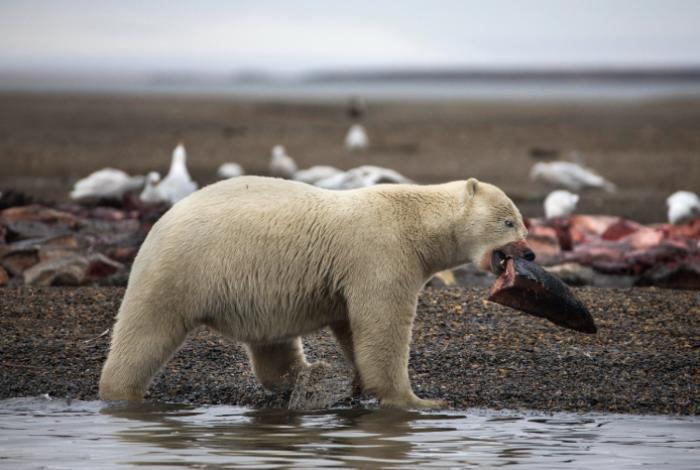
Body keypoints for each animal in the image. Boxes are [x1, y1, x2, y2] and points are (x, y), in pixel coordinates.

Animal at [99, 176, 533, 409]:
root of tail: (159, 222)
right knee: (145, 331)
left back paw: (305, 375)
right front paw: (417, 400)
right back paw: (119, 392)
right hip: (181, 269)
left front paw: (357, 382)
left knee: (272, 346)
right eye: (509, 221)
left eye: (523, 223)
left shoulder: (351, 276)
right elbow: (383, 325)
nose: (529, 252)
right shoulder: (381, 253)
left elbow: (353, 327)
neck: (417, 223)